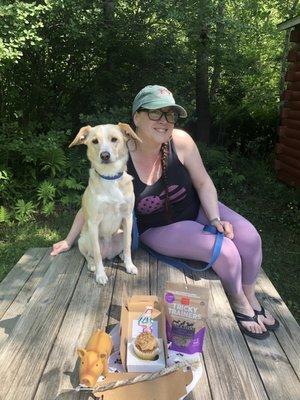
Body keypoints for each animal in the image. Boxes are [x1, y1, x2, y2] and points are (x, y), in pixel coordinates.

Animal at [69, 122, 141, 284]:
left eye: (114, 139)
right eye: (95, 141)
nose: (105, 155)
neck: (110, 177)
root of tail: (108, 253)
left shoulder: (128, 217)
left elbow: (128, 246)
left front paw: (129, 265)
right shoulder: (93, 223)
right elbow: (96, 253)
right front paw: (100, 275)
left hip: (120, 233)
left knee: (122, 247)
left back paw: (121, 256)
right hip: (83, 239)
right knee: (89, 255)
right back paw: (92, 265)